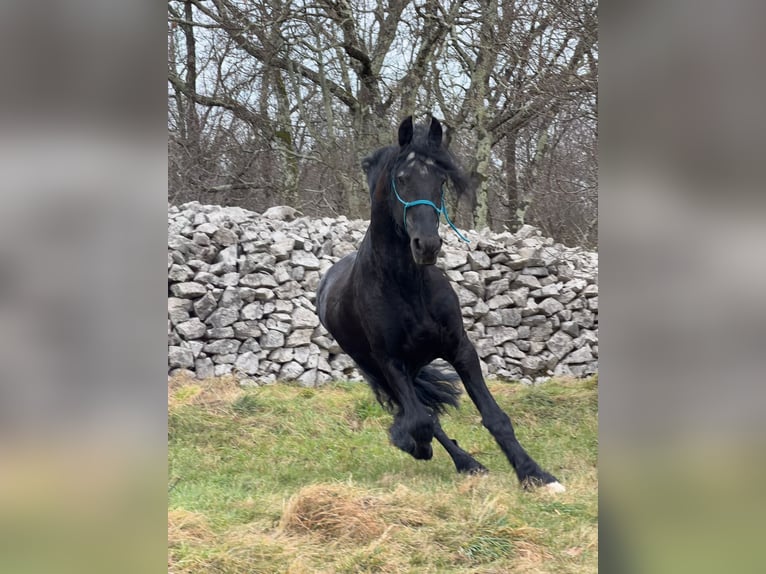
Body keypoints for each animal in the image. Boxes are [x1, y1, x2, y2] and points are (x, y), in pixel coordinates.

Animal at [316, 116, 563, 492]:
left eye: (441, 180)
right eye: (402, 178)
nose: (427, 245)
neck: (408, 285)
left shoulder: (460, 348)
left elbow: (495, 417)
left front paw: (535, 475)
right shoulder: (391, 363)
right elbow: (421, 420)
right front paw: (412, 443)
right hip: (375, 368)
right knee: (420, 414)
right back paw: (460, 460)